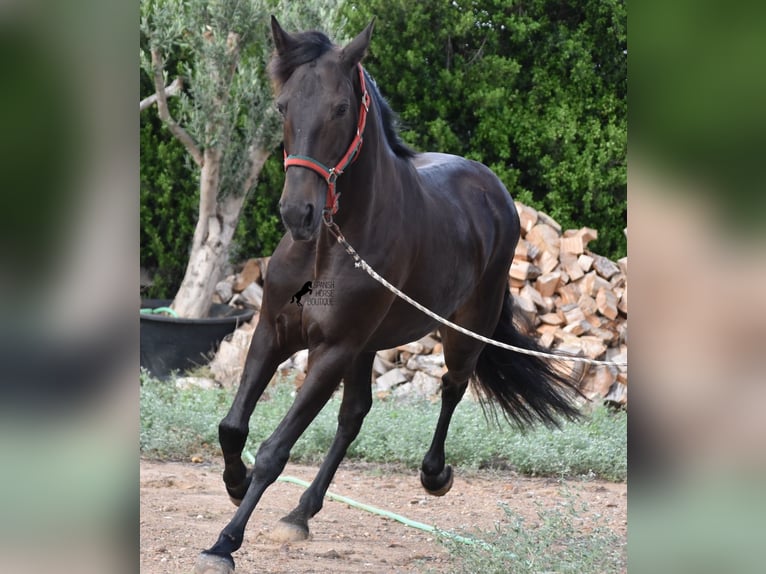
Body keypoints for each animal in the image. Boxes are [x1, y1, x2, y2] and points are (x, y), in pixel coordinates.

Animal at [194, 15, 584, 572]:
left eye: (340, 108)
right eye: (282, 106)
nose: (297, 213)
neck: (331, 244)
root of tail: (494, 190)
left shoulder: (331, 350)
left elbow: (274, 450)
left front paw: (225, 542)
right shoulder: (274, 334)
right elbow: (232, 427)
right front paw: (234, 482)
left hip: (461, 333)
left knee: (451, 388)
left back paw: (434, 475)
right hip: (367, 348)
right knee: (354, 415)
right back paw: (300, 514)